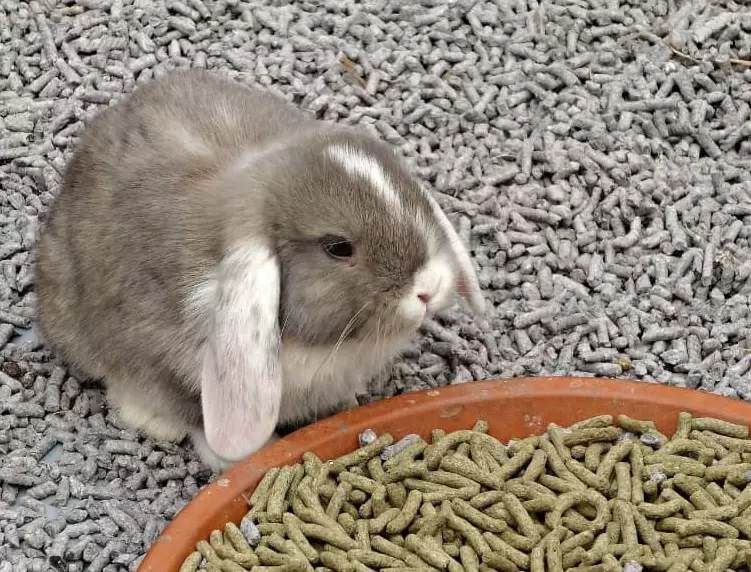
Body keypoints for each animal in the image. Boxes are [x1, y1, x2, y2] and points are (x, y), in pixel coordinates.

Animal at [35, 69, 485, 472]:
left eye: (416, 200)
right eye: (337, 247)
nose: (429, 288)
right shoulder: (165, 365)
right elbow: (194, 417)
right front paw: (237, 457)